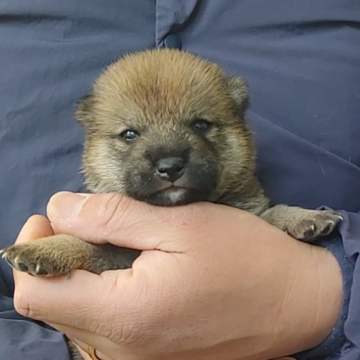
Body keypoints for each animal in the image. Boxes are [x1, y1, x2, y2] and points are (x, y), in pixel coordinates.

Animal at [0, 47, 344, 358]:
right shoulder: (114, 254)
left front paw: (304, 217)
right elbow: (84, 245)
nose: (170, 166)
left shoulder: (250, 212)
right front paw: (42, 249)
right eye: (130, 134)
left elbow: (272, 213)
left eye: (200, 124)